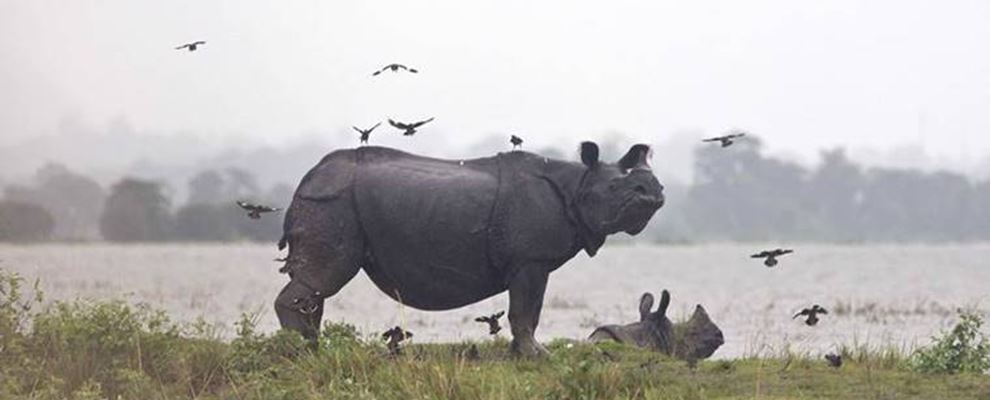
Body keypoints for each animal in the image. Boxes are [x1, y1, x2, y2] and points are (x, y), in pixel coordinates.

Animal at [275, 142, 664, 356]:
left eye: (651, 184)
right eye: (614, 188)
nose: (654, 190)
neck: (578, 184)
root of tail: (304, 179)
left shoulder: (532, 262)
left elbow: (530, 309)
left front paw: (520, 354)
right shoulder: (529, 259)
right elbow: (525, 310)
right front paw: (537, 356)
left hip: (332, 199)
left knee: (318, 287)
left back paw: (312, 347)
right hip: (332, 201)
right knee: (324, 278)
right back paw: (301, 352)